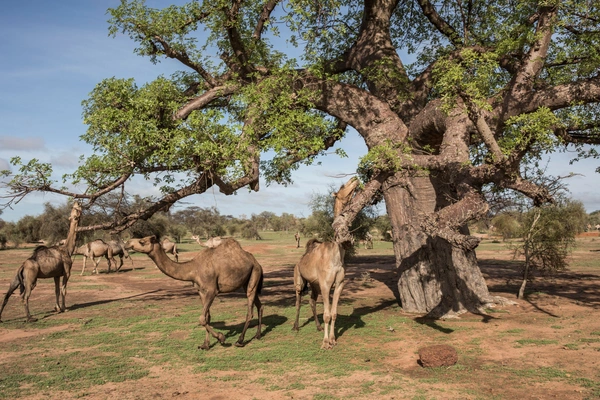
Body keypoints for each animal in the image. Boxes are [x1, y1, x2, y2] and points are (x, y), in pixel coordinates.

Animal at [125, 236, 264, 348]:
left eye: (142, 241)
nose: (127, 243)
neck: (193, 269)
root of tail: (257, 262)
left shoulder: (212, 290)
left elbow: (202, 318)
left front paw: (221, 337)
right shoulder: (201, 291)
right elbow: (207, 317)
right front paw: (205, 345)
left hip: (254, 274)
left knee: (250, 310)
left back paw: (240, 341)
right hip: (247, 281)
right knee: (260, 305)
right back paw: (257, 335)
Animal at [292, 177, 358, 348]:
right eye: (342, 186)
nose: (354, 179)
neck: (336, 256)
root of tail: (299, 261)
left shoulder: (339, 283)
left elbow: (333, 314)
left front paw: (333, 339)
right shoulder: (325, 284)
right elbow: (327, 314)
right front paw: (326, 342)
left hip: (314, 284)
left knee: (312, 302)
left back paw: (318, 327)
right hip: (299, 280)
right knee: (298, 301)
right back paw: (295, 326)